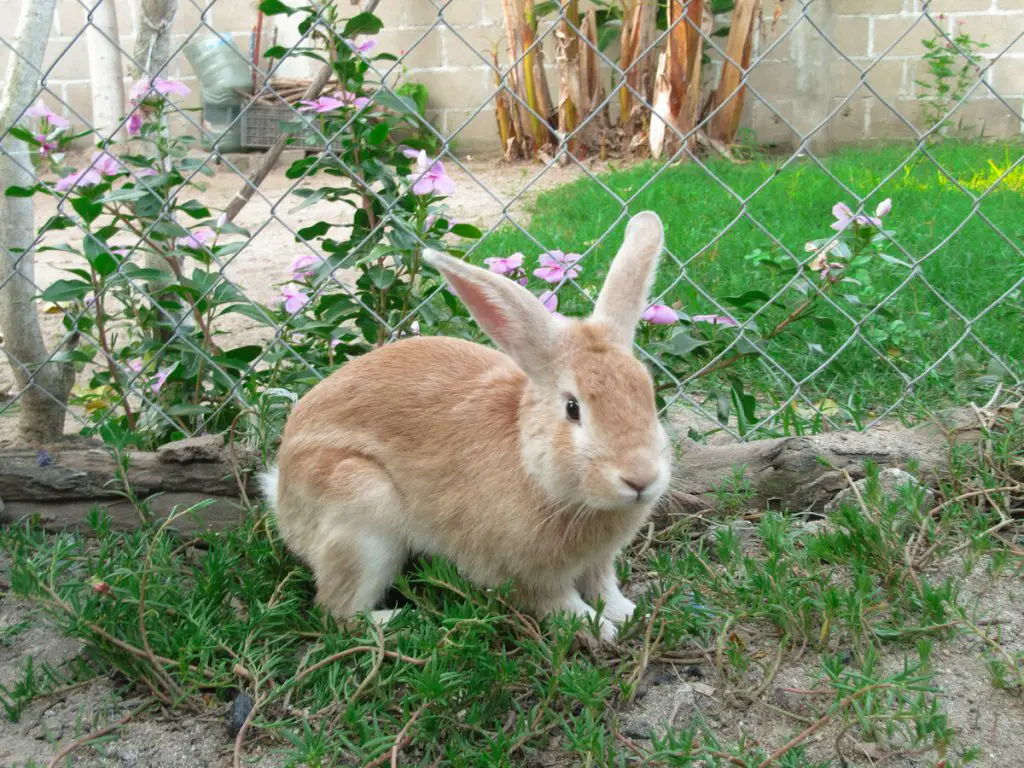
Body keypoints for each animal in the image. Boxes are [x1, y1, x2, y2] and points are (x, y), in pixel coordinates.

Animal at [262, 210, 671, 643]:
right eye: (573, 408)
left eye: (648, 395)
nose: (640, 478)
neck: (536, 470)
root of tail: (282, 494)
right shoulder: (528, 576)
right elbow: (558, 603)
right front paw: (598, 628)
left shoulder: (599, 563)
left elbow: (604, 586)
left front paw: (629, 614)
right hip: (359, 511)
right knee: (336, 613)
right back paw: (404, 620)